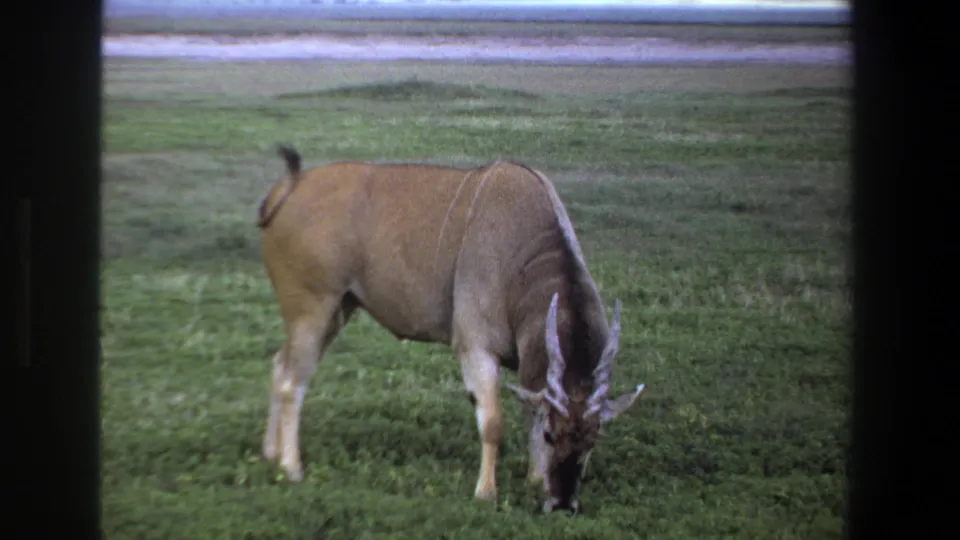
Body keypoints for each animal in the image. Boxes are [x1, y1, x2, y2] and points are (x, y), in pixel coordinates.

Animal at [257, 145, 645, 514]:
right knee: (293, 383)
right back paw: (292, 468)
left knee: (280, 365)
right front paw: (486, 493)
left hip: (337, 311)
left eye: (592, 440)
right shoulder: (475, 347)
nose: (563, 504)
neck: (523, 253)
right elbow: (493, 422)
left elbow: (528, 410)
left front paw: (535, 479)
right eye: (552, 436)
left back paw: (270, 454)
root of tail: (289, 187)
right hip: (314, 308)